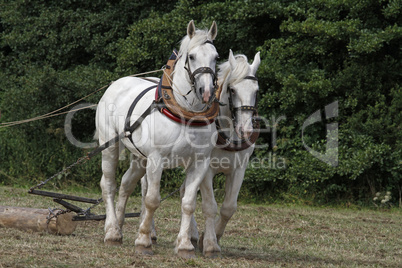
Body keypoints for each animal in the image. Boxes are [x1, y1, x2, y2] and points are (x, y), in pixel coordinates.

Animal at [94, 21, 218, 258]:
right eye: (191, 56)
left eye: (216, 57)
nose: (206, 92)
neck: (185, 112)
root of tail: (117, 82)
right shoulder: (156, 159)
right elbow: (151, 200)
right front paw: (143, 241)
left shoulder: (200, 162)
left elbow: (188, 203)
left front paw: (185, 245)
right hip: (110, 147)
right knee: (109, 185)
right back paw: (112, 231)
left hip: (139, 158)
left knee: (126, 184)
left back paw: (119, 226)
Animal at [143, 49, 262, 256]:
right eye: (232, 90)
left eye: (256, 91)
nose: (246, 130)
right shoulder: (208, 169)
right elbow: (209, 205)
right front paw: (210, 243)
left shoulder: (239, 169)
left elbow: (228, 208)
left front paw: (211, 236)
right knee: (145, 186)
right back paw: (150, 231)